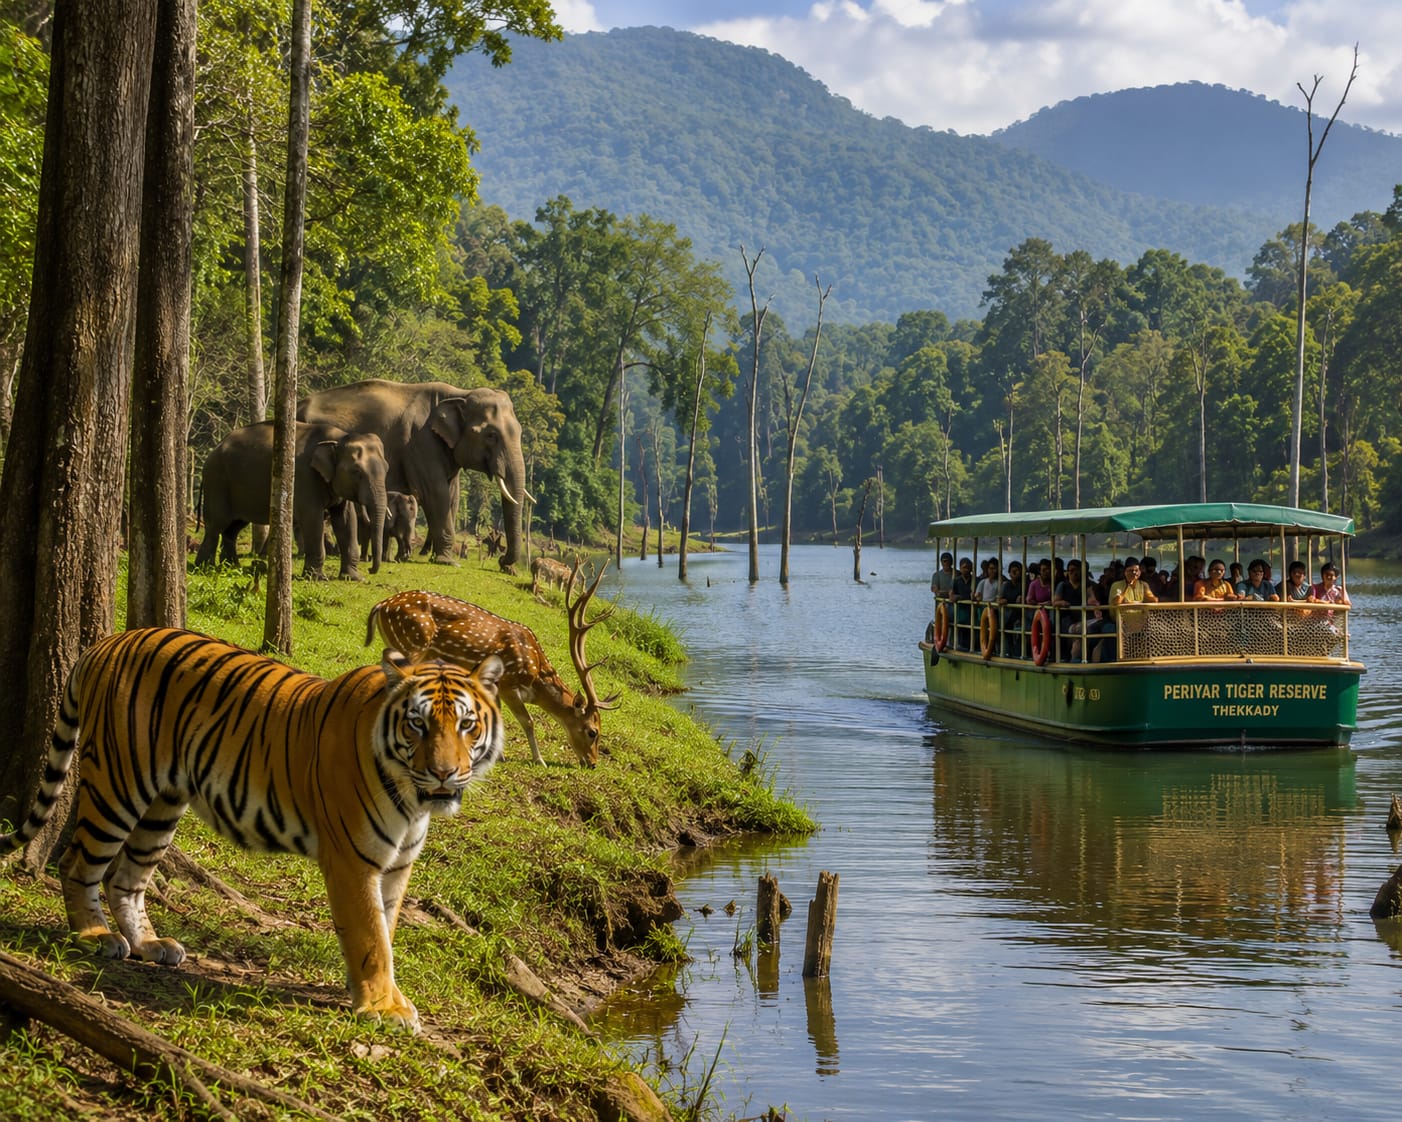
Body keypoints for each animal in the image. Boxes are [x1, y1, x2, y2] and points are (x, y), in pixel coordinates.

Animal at [196, 421, 388, 580]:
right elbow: (312, 518)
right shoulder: (304, 476)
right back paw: (204, 568)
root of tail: (214, 449)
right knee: (216, 525)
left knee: (233, 528)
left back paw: (231, 567)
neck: (338, 438)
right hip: (217, 482)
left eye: (387, 469)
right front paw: (317, 579)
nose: (371, 569)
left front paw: (353, 578)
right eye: (356, 472)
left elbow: (346, 519)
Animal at [296, 379, 526, 570]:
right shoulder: (420, 442)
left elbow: (452, 495)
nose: (502, 562)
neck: (459, 393)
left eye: (520, 432)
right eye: (491, 435)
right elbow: (436, 493)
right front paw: (448, 562)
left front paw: (436, 557)